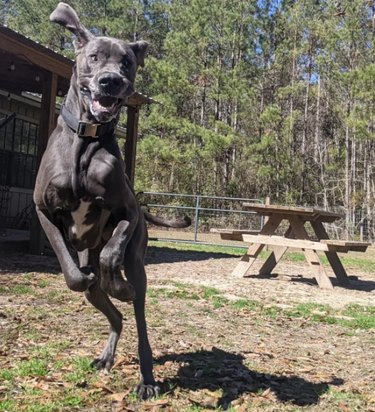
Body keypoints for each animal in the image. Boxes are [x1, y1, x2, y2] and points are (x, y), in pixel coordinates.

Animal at [34, 0, 189, 400]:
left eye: (127, 63)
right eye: (93, 57)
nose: (111, 81)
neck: (85, 140)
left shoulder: (128, 212)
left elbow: (111, 250)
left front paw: (116, 282)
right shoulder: (43, 210)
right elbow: (72, 272)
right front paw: (87, 276)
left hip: (139, 265)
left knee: (137, 314)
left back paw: (146, 376)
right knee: (111, 309)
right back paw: (106, 352)